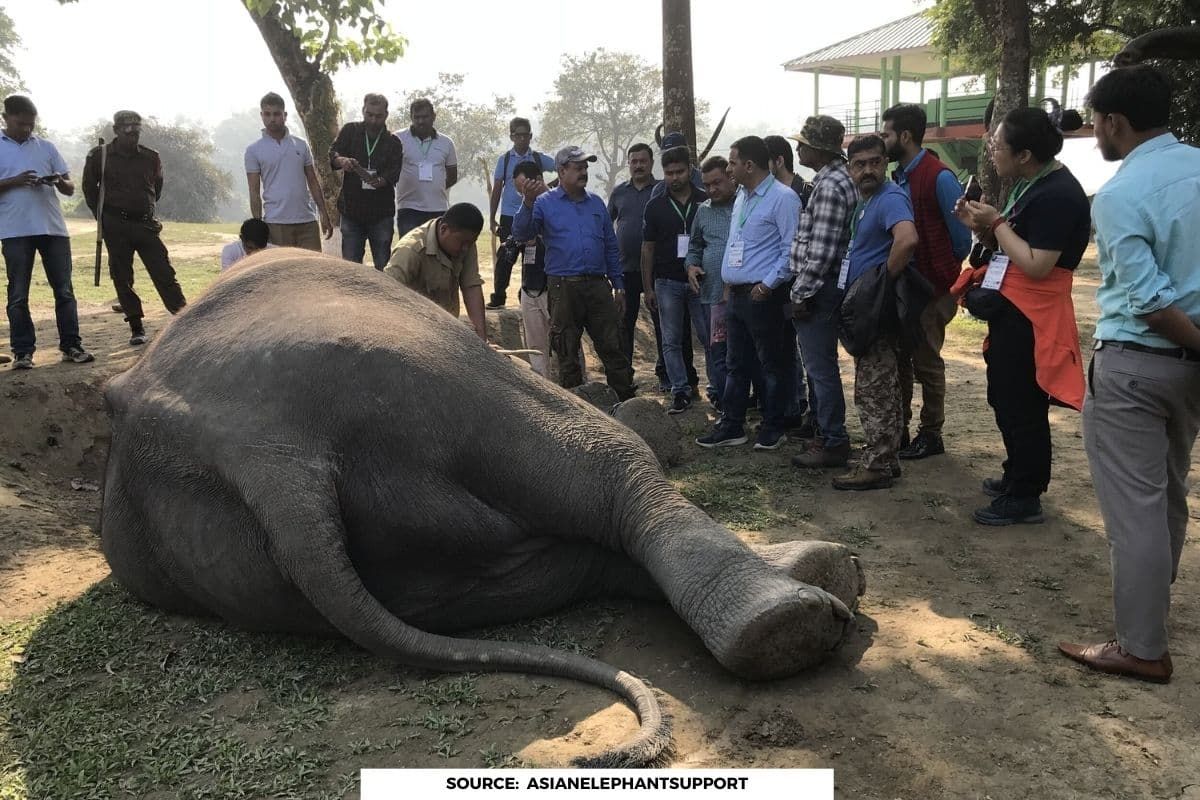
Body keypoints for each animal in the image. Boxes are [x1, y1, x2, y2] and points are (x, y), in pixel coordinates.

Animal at [99, 249, 866, 767]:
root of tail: (267, 454)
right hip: (435, 378)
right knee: (611, 466)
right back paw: (796, 615)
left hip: (265, 570)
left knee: (567, 561)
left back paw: (819, 586)